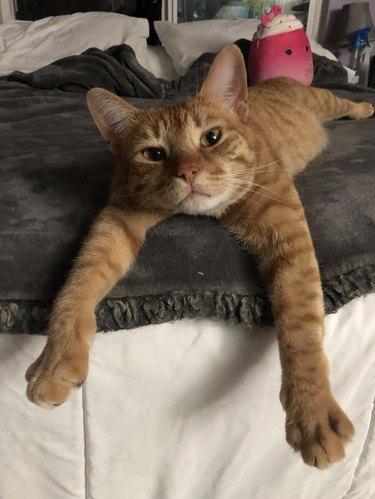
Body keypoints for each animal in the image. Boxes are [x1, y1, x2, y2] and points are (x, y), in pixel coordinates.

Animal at [25, 44, 374, 468]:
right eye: (154, 153)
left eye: (212, 137)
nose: (189, 172)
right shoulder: (118, 220)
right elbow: (78, 283)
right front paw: (56, 358)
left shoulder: (287, 232)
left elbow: (300, 324)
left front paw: (311, 410)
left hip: (321, 100)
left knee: (344, 102)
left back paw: (366, 108)